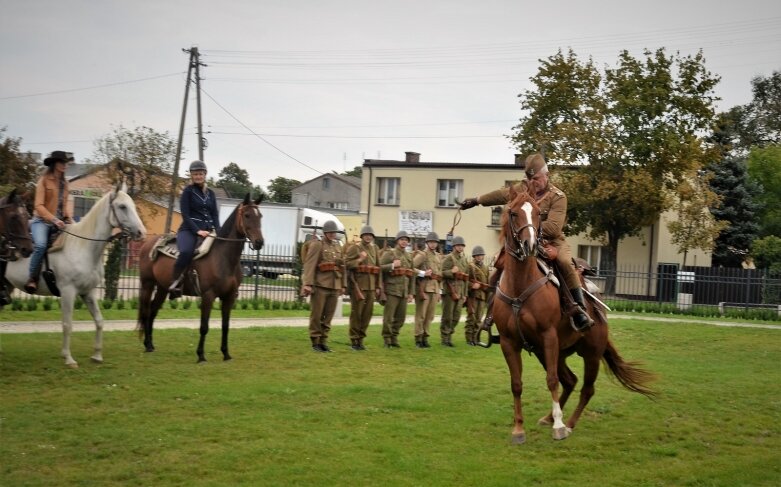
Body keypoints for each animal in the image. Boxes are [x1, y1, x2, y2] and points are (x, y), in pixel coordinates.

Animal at [4, 185, 146, 368]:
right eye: (122, 206)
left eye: (133, 205)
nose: (142, 232)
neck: (84, 248)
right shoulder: (68, 292)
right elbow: (67, 324)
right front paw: (68, 358)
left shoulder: (88, 292)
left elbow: (99, 321)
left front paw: (97, 355)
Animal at [137, 194, 266, 362]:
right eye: (247, 215)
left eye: (260, 216)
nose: (259, 242)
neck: (222, 257)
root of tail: (148, 244)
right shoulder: (208, 296)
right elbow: (204, 326)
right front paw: (201, 355)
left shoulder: (229, 297)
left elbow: (226, 326)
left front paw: (226, 354)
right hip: (148, 284)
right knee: (146, 312)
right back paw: (147, 345)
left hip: (163, 288)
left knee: (153, 311)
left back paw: (150, 344)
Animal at [482, 184, 652, 446]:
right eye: (513, 213)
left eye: (539, 214)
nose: (530, 245)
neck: (521, 285)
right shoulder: (510, 343)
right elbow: (516, 384)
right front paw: (518, 430)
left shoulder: (548, 336)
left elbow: (551, 380)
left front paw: (559, 427)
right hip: (550, 352)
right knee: (570, 380)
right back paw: (548, 417)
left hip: (590, 353)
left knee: (586, 388)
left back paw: (569, 423)